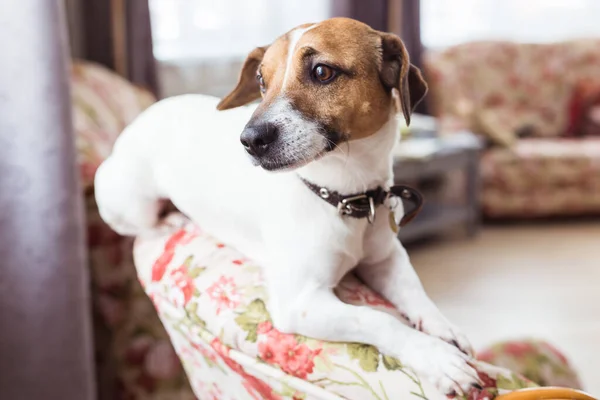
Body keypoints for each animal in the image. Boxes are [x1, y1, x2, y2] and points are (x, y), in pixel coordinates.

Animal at [97, 18, 482, 394]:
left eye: (322, 71)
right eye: (261, 80)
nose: (249, 140)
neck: (344, 195)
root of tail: (149, 112)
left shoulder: (386, 259)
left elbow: (416, 293)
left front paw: (443, 329)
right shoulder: (302, 302)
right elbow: (378, 318)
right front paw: (435, 357)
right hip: (129, 200)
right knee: (139, 223)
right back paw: (170, 221)